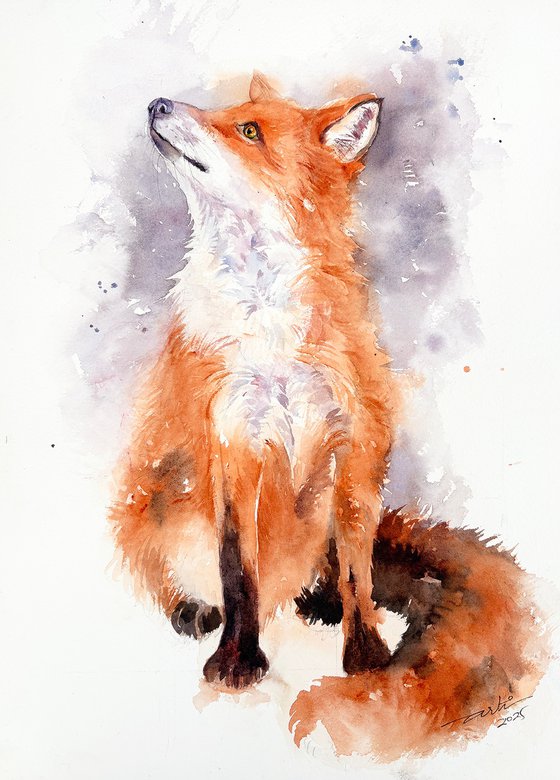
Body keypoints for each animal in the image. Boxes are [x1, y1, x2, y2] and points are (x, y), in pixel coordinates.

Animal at [110, 74, 547, 722]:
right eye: (229, 114)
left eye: (248, 130)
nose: (157, 103)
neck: (272, 328)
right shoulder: (235, 437)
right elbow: (238, 570)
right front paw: (239, 660)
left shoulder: (357, 440)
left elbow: (358, 571)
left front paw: (363, 650)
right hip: (152, 503)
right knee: (171, 574)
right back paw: (194, 609)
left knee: (330, 563)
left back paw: (318, 600)